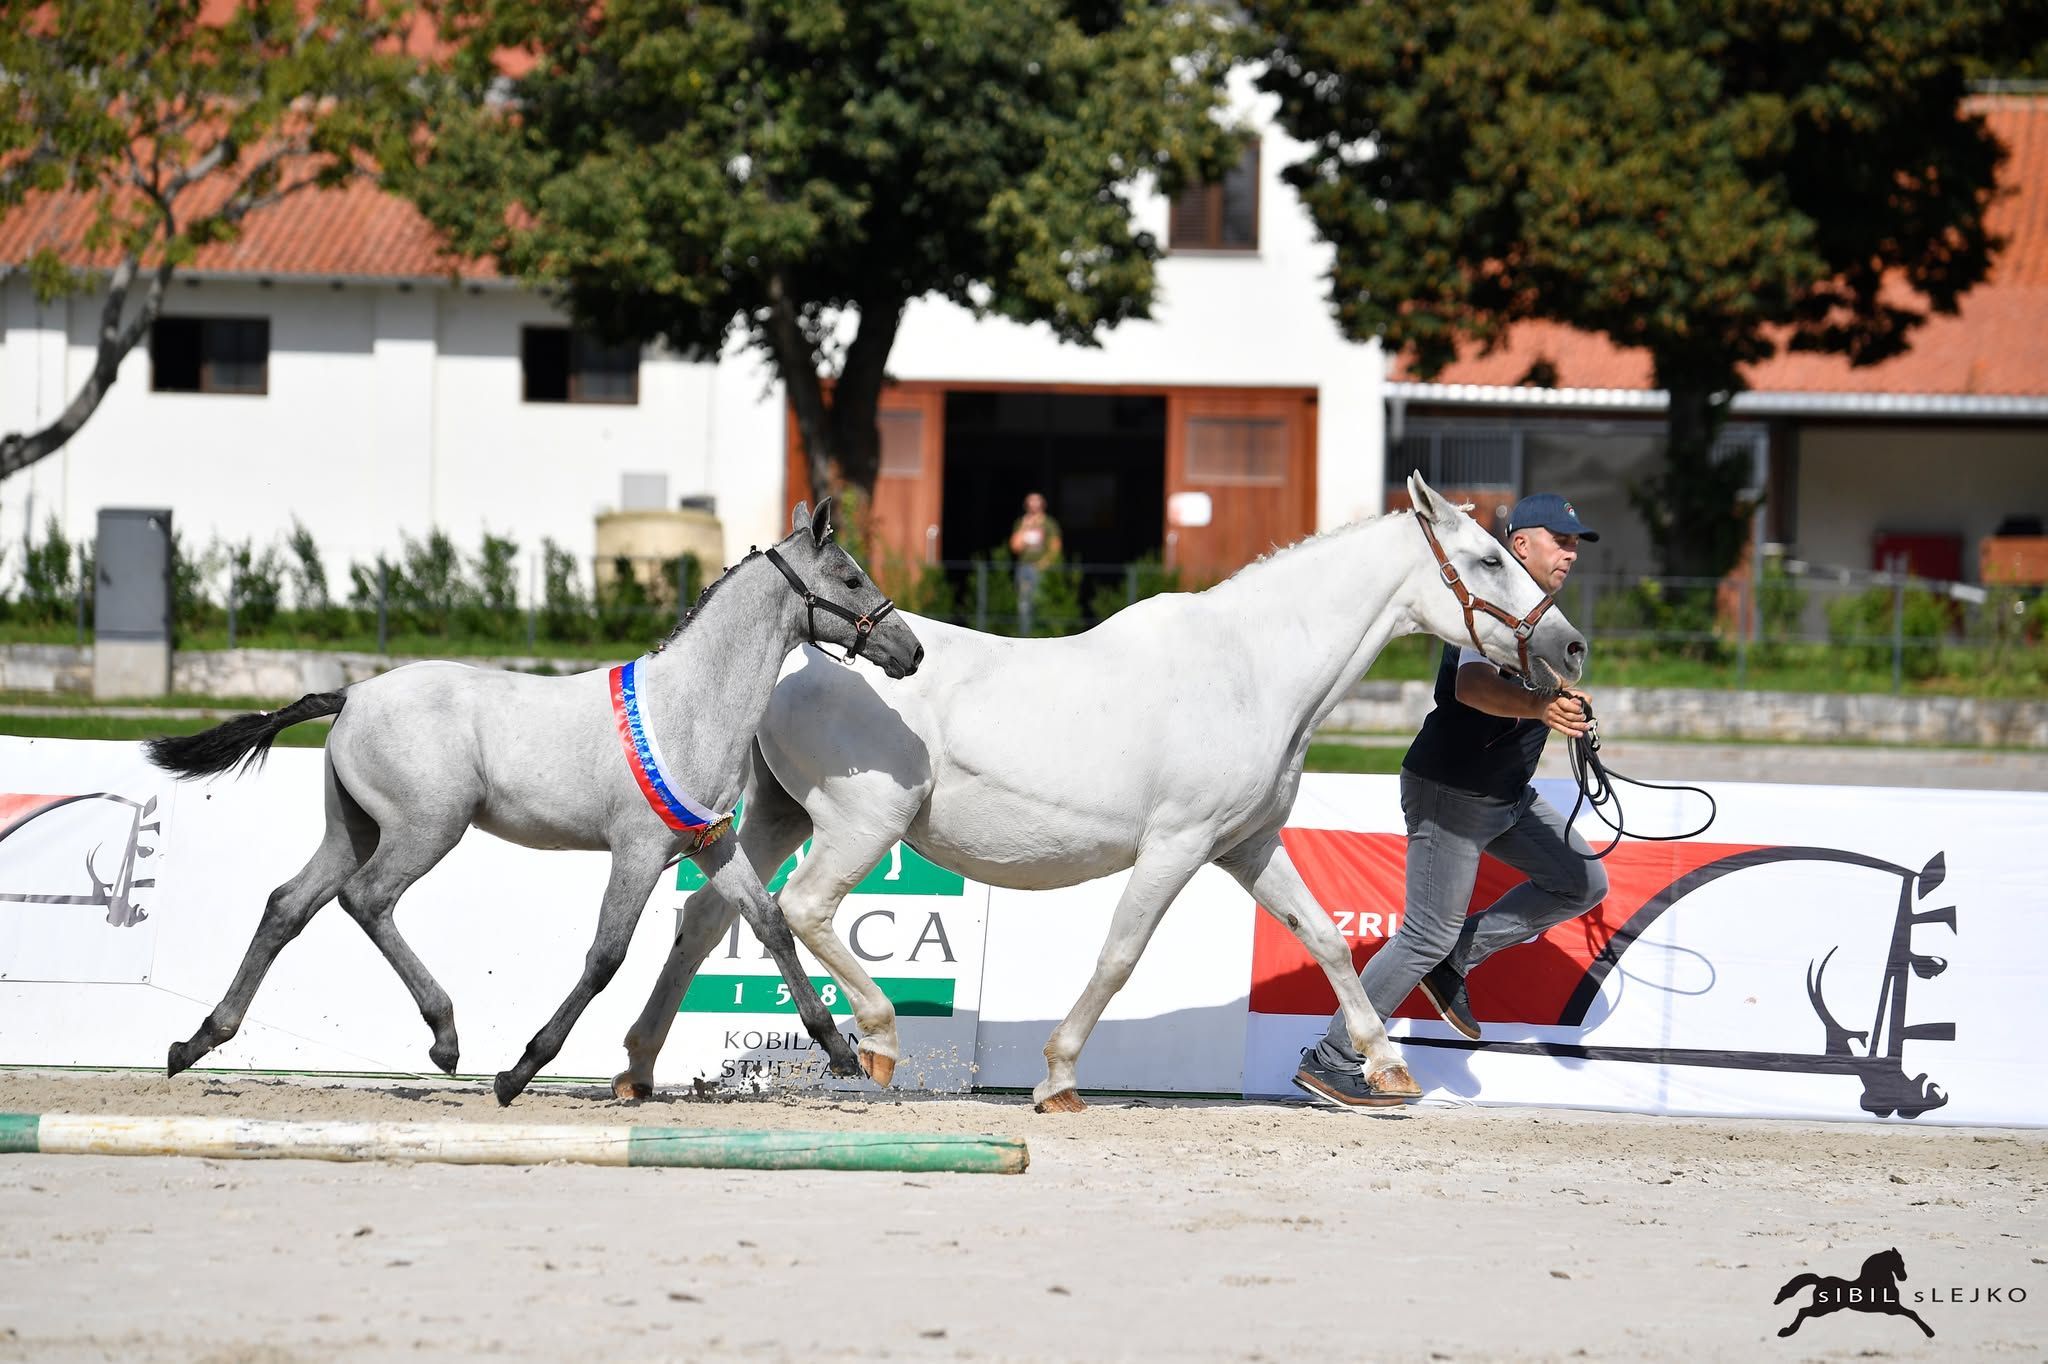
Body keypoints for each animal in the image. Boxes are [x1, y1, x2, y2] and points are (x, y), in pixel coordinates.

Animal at [144, 499, 922, 1106]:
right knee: (366, 900)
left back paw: (195, 1042)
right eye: (850, 577)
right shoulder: (639, 849)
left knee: (288, 905)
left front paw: (842, 1052)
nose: (909, 650)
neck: (690, 705)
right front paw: (519, 1070)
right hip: (428, 829)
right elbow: (606, 956)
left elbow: (769, 925)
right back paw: (446, 1038)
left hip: (353, 829)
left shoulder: (711, 842)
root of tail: (352, 695)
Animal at [613, 472, 1586, 1111]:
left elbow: (1327, 942)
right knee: (804, 910)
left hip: (776, 816)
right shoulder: (1178, 846)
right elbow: (1119, 956)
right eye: (1488, 560)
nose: (1571, 647)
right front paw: (1059, 1078)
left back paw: (638, 1065)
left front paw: (1385, 1068)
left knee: (708, 917)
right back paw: (878, 1041)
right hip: (861, 825)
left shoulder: (1248, 845)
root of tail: (797, 656)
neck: (1251, 669)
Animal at [1774, 1247, 1932, 1337]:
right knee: (1803, 1311)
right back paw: (1786, 1332)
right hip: (1823, 1308)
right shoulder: (1891, 1309)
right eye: (1900, 1263)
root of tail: (1820, 1281)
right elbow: (1912, 1313)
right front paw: (1930, 1332)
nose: (1903, 1277)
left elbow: (1912, 1313)